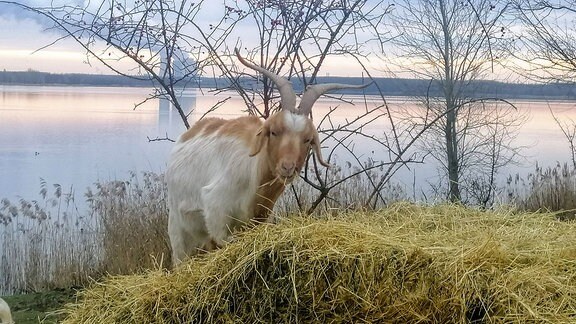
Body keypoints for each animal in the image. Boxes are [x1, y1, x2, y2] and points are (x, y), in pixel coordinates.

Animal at [166, 48, 368, 266]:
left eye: (307, 139)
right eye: (274, 132)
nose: (287, 167)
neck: (254, 174)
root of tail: (188, 134)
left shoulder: (259, 219)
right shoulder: (216, 212)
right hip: (178, 226)